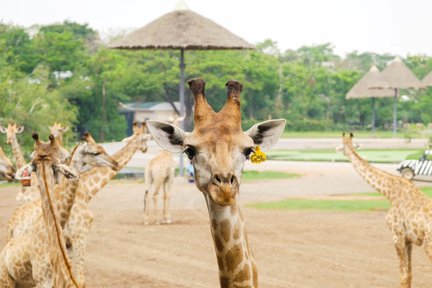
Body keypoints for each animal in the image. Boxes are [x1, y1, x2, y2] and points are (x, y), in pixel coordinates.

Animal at [340, 133, 432, 288]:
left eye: (341, 144)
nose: (336, 149)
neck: (390, 192)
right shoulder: (408, 239)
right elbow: (409, 275)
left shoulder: (396, 235)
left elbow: (403, 276)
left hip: (429, 245)